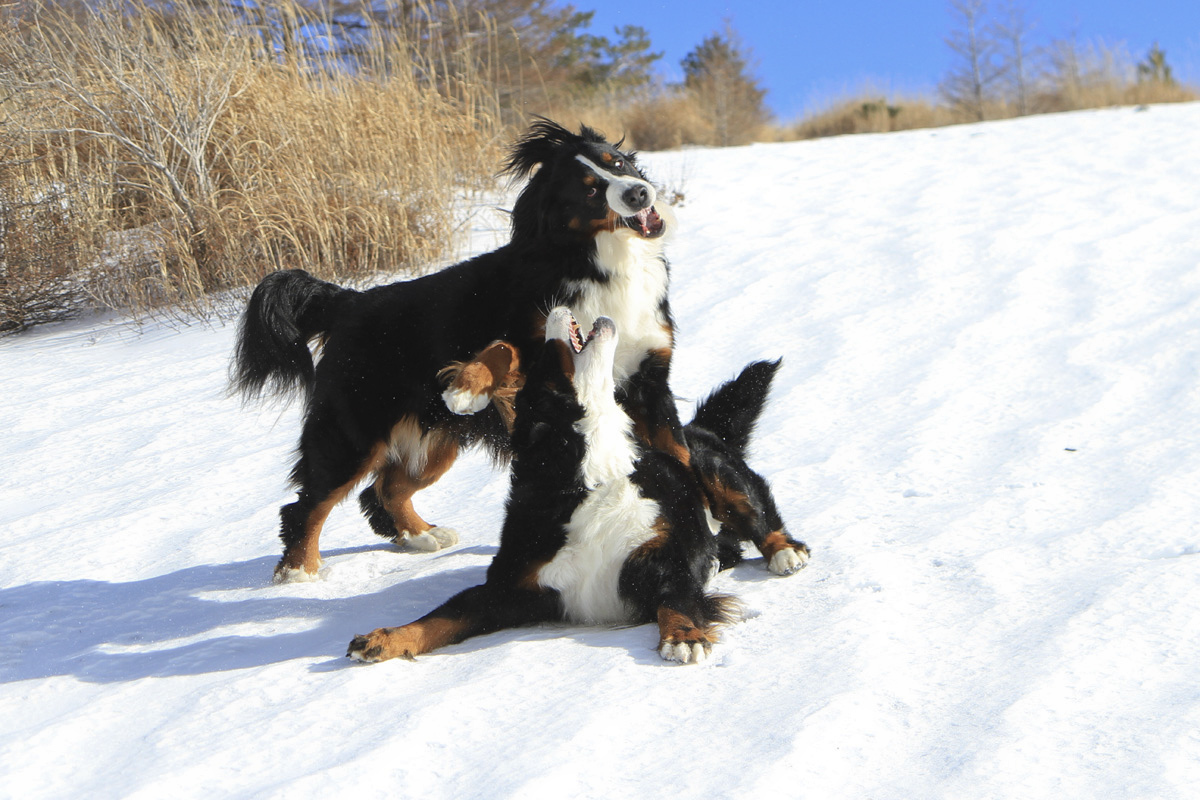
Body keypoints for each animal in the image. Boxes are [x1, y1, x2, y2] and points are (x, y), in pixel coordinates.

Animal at [231, 120, 686, 582]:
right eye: (590, 189)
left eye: (620, 163)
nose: (639, 193)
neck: (601, 265)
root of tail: (348, 301)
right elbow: (500, 348)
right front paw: (467, 388)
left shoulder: (650, 383)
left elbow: (678, 454)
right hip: (352, 431)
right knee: (309, 504)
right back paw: (299, 570)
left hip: (434, 441)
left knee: (385, 489)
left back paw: (421, 535)